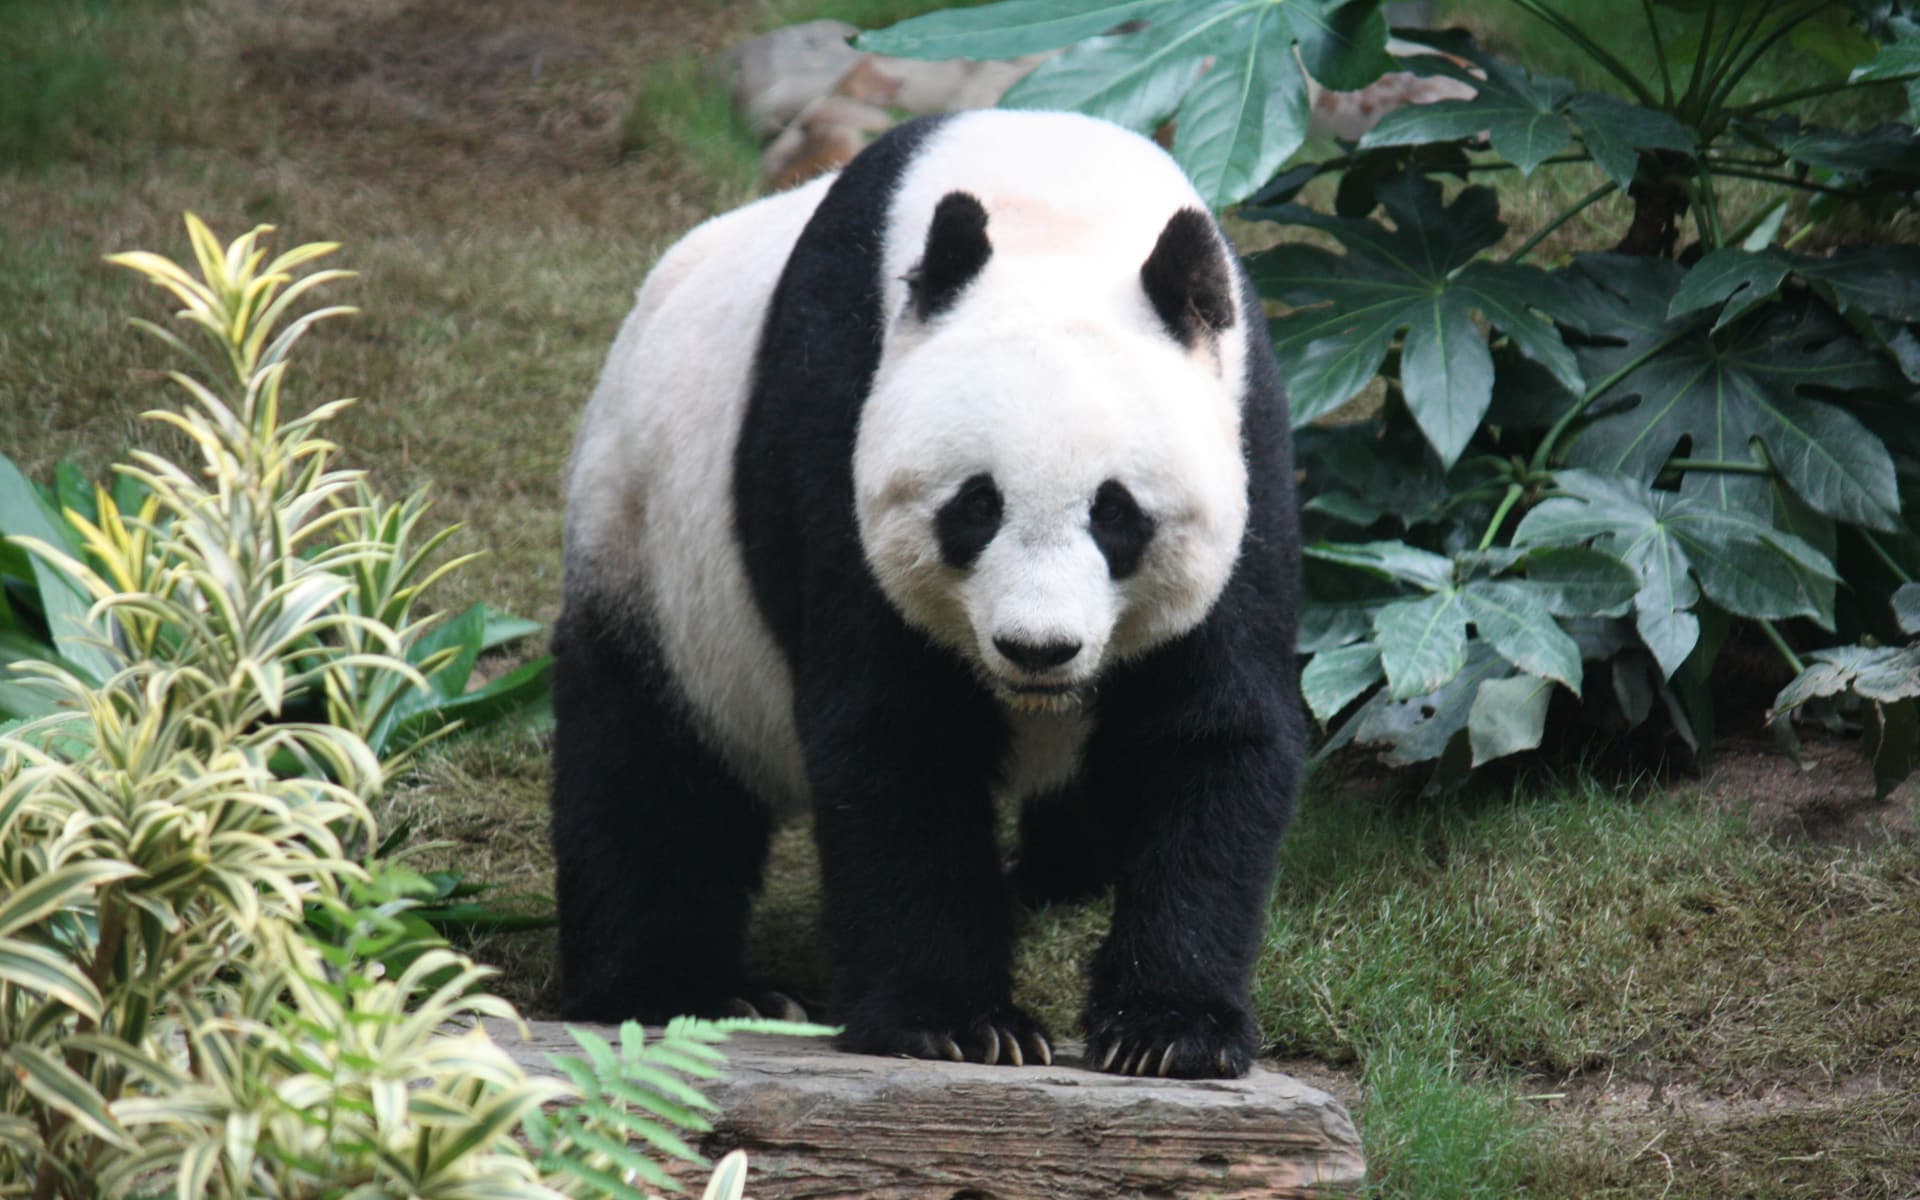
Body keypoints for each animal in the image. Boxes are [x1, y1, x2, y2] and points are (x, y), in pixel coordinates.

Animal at [551, 109, 1301, 1079]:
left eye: (1117, 514)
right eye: (976, 507)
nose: (1037, 648)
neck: (1054, 208)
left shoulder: (1248, 442)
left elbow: (1208, 732)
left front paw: (1168, 1031)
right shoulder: (836, 415)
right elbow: (898, 736)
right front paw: (960, 1024)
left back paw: (1062, 877)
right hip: (649, 548)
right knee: (648, 771)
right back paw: (682, 988)